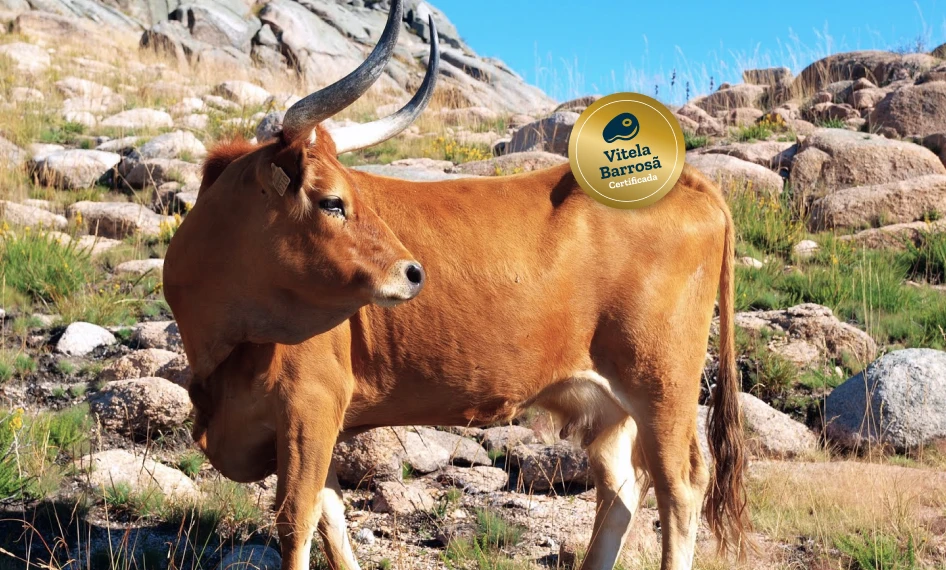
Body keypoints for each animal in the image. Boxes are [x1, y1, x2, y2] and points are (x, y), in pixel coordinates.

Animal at [162, 2, 749, 569]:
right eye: (333, 200)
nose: (413, 272)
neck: (222, 346)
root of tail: (686, 179)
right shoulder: (314, 421)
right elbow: (331, 521)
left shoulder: (311, 404)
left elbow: (297, 523)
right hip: (608, 404)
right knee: (621, 491)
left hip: (661, 384)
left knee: (680, 486)